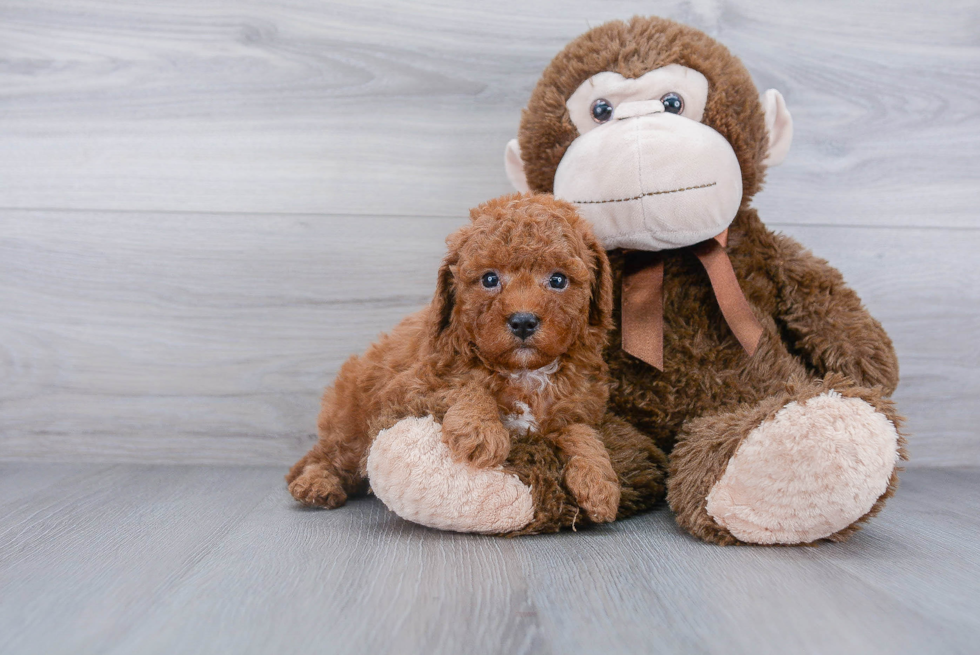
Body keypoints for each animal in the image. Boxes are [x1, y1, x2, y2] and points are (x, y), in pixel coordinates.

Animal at [288, 192, 632, 524]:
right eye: (490, 279)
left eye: (558, 280)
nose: (523, 321)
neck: (524, 372)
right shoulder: (408, 388)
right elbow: (465, 386)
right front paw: (480, 431)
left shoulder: (576, 407)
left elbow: (580, 432)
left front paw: (599, 482)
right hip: (350, 423)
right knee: (328, 456)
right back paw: (316, 483)